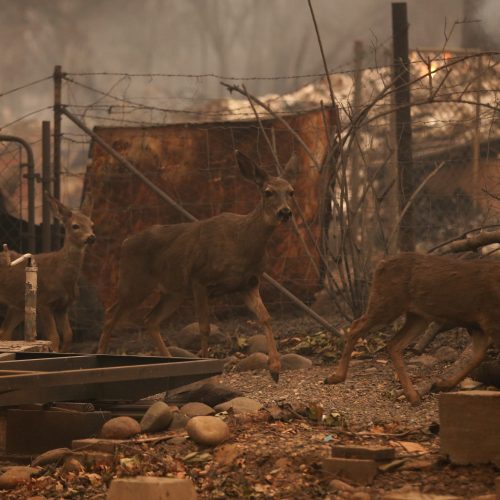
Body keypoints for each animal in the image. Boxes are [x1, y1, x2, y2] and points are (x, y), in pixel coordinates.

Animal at [0, 193, 94, 350]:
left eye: (92, 224)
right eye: (75, 226)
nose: (91, 237)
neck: (61, 275)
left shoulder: (63, 307)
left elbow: (68, 336)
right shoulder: (43, 302)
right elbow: (54, 337)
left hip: (18, 306)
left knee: (5, 332)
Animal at [97, 150, 298, 380]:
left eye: (291, 192)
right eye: (268, 192)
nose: (285, 212)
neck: (241, 243)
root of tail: (125, 243)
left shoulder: (248, 284)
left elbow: (265, 317)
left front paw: (275, 369)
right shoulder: (200, 279)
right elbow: (204, 327)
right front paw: (207, 367)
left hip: (172, 292)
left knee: (150, 320)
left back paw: (168, 362)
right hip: (134, 283)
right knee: (111, 315)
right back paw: (101, 357)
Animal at [324, 254, 500, 406]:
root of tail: (380, 265)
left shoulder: (478, 324)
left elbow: (478, 356)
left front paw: (441, 384)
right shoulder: (490, 320)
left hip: (418, 316)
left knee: (394, 344)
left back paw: (413, 395)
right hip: (388, 303)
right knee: (356, 326)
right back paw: (335, 377)